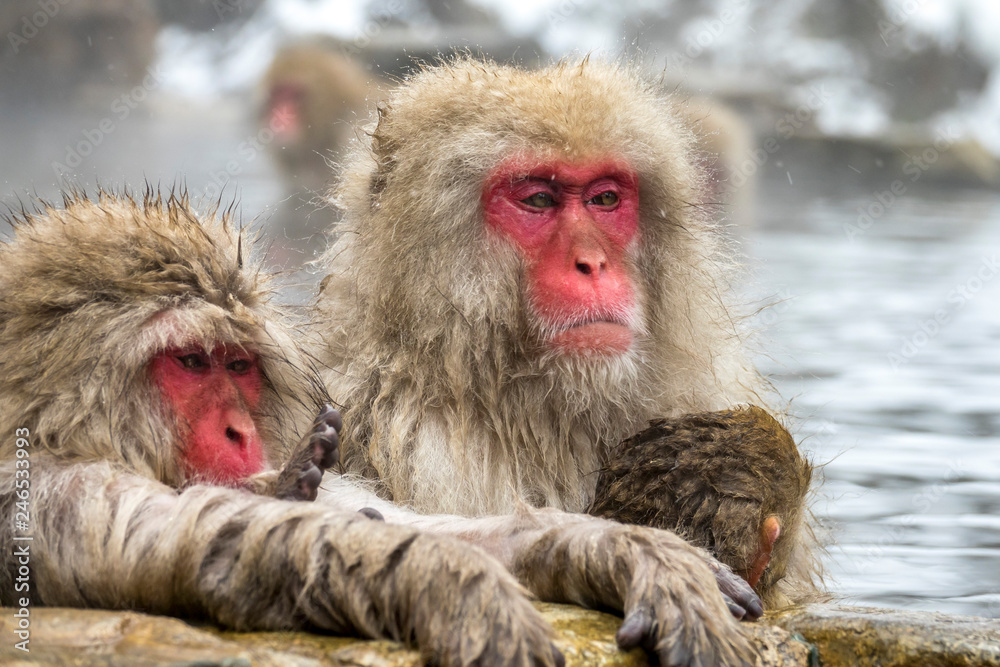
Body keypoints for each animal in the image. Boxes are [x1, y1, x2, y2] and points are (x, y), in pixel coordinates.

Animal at [0, 190, 764, 666]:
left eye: (238, 366)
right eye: (191, 362)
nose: (242, 432)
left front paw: (640, 553)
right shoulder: (45, 491)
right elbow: (212, 543)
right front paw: (460, 587)